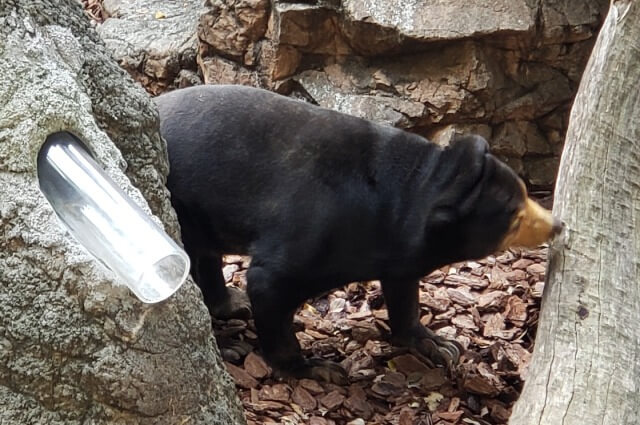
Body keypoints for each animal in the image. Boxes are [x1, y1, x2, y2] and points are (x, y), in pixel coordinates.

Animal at [158, 84, 564, 382]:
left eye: (526, 194)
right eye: (515, 218)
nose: (558, 224)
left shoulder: (398, 253)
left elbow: (403, 290)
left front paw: (438, 343)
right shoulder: (315, 233)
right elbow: (269, 285)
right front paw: (314, 368)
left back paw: (230, 303)